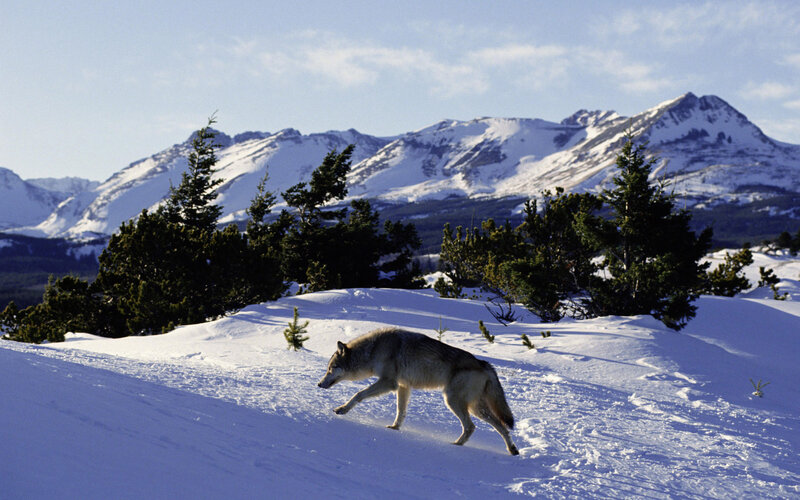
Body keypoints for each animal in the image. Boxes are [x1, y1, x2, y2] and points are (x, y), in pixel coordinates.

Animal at [318, 327, 519, 455]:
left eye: (331, 369)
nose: (319, 384)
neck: (374, 349)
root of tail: (484, 364)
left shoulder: (389, 383)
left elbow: (358, 394)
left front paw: (342, 409)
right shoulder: (402, 386)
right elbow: (401, 411)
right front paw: (395, 428)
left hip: (453, 401)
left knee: (471, 426)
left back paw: (456, 445)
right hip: (476, 408)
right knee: (502, 426)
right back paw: (512, 450)